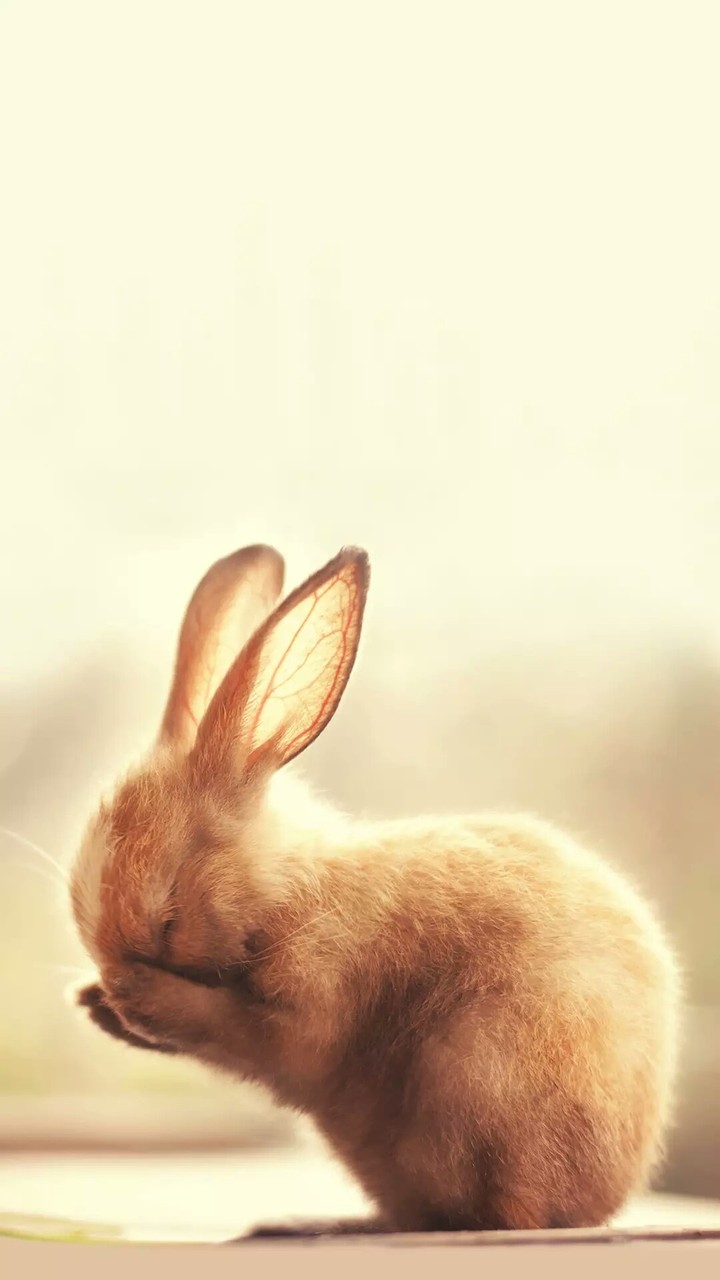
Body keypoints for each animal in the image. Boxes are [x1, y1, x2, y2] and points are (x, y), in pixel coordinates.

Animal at [68, 543, 681, 1236]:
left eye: (168, 917)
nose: (114, 974)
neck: (279, 893)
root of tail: (601, 1202)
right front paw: (95, 1001)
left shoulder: (309, 1009)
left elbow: (241, 1030)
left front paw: (132, 994)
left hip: (473, 1079)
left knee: (500, 1217)